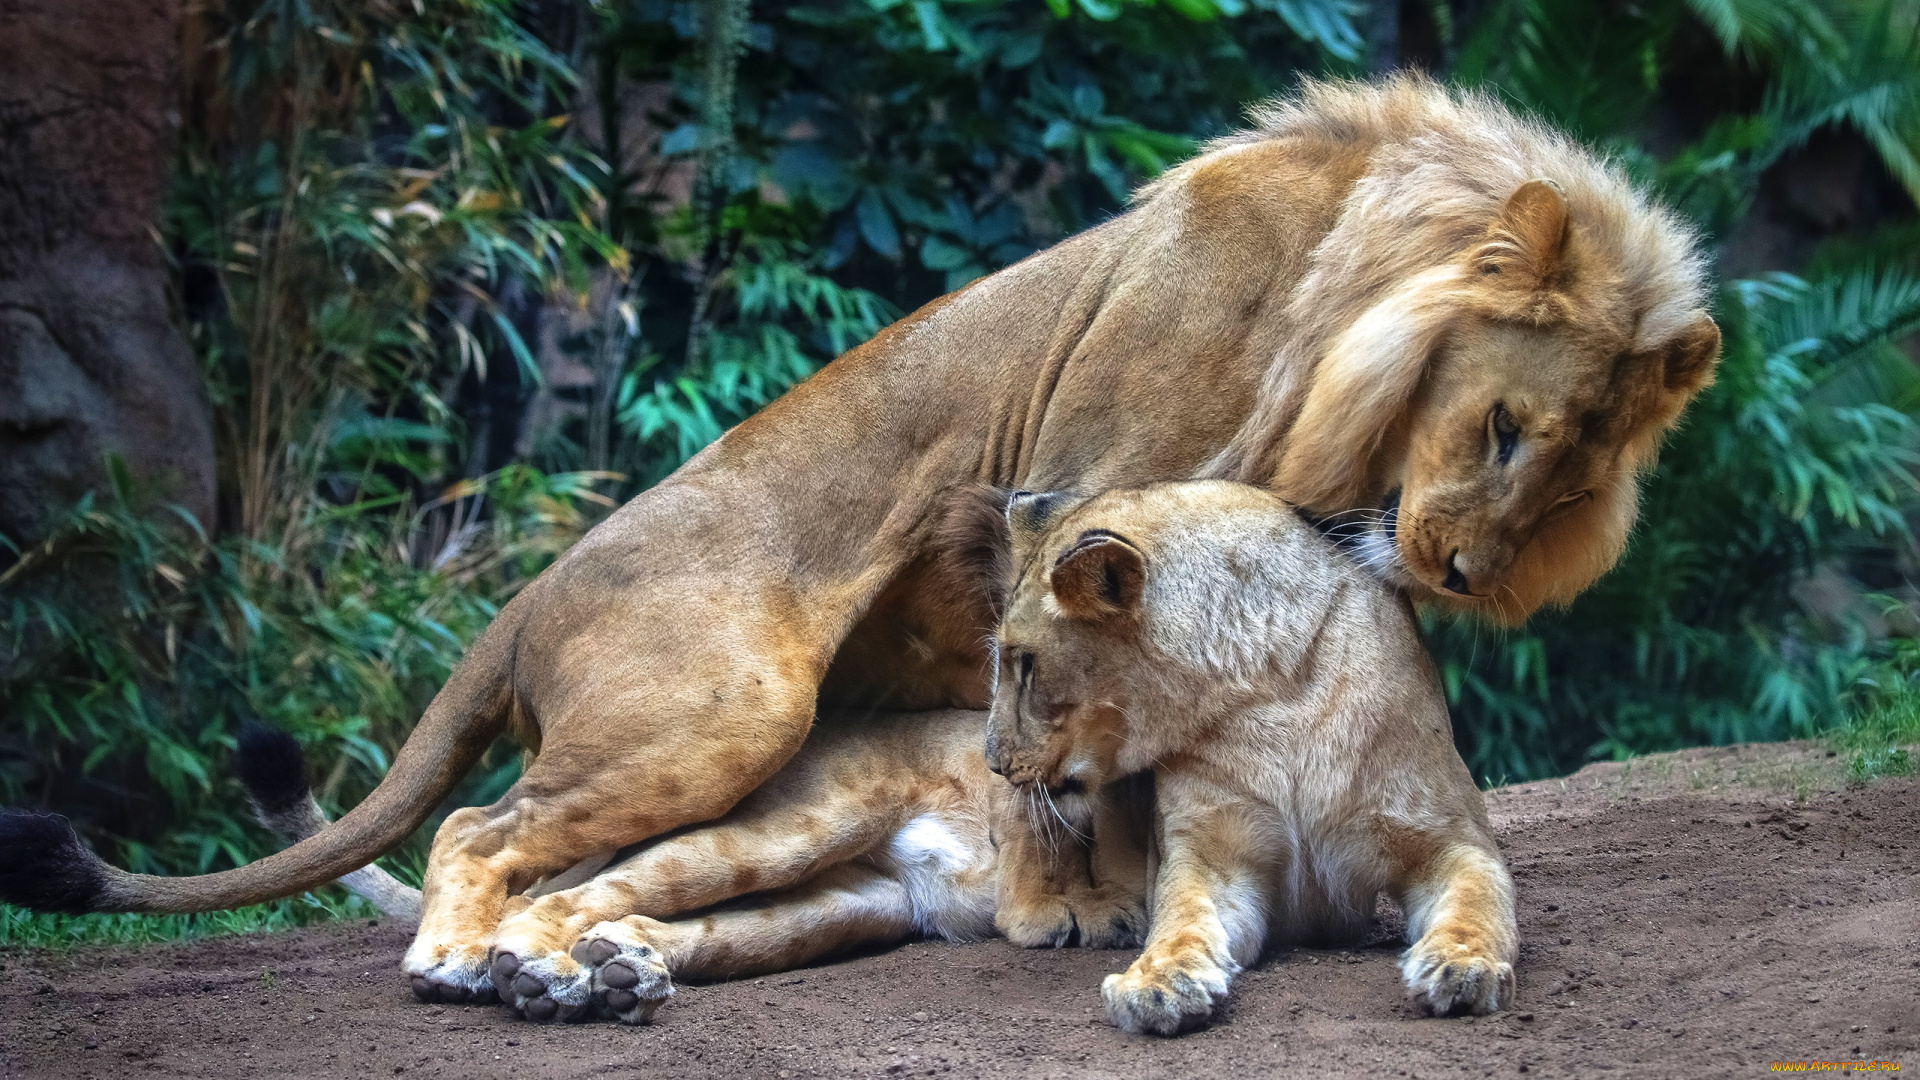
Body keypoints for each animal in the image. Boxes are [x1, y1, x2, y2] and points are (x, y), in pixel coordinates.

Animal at [990, 478, 1512, 1022]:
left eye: (1026, 663)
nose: (995, 762)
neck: (1273, 691)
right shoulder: (1211, 855)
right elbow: (1181, 921)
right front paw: (1158, 981)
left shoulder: (1451, 837)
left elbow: (1475, 902)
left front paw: (1461, 967)